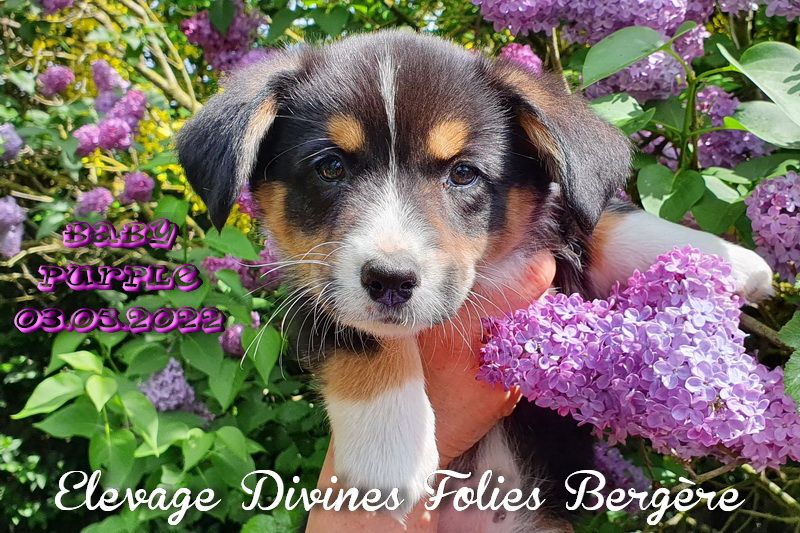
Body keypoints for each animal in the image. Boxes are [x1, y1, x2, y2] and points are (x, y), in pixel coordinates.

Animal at [177, 30, 773, 531]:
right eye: (330, 167)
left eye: (463, 173)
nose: (391, 281)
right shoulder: (311, 287)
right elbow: (364, 337)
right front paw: (389, 454)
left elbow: (599, 218)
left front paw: (730, 260)